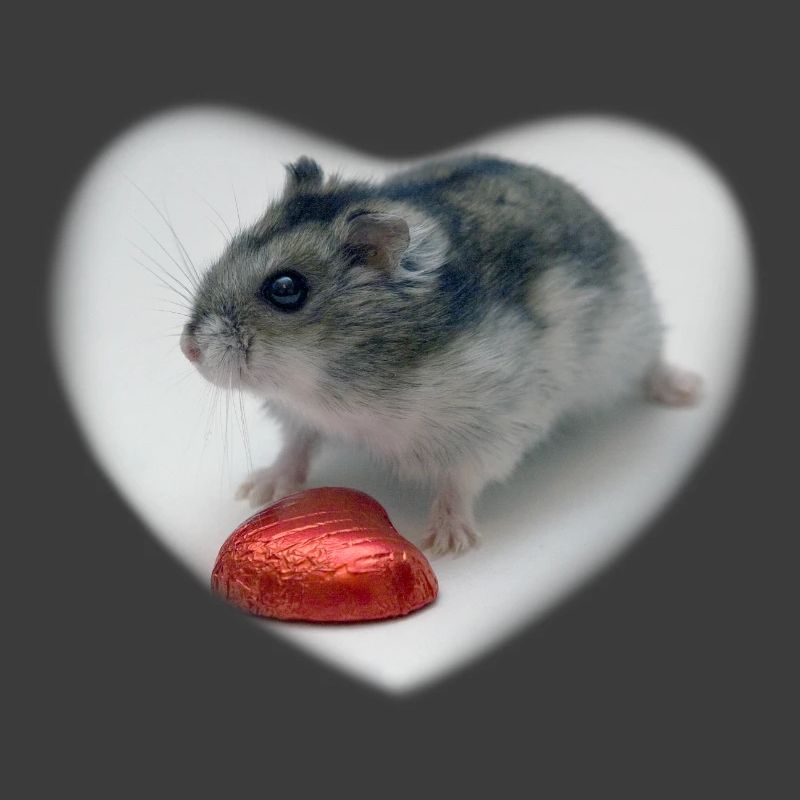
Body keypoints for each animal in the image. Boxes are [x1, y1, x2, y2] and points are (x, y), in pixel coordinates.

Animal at [180, 154, 701, 555]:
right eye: (232, 247)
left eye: (286, 288)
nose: (188, 350)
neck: (329, 380)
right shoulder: (299, 415)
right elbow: (296, 446)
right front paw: (257, 490)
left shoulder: (490, 428)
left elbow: (460, 482)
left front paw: (446, 544)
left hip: (631, 332)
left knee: (653, 361)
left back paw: (687, 391)